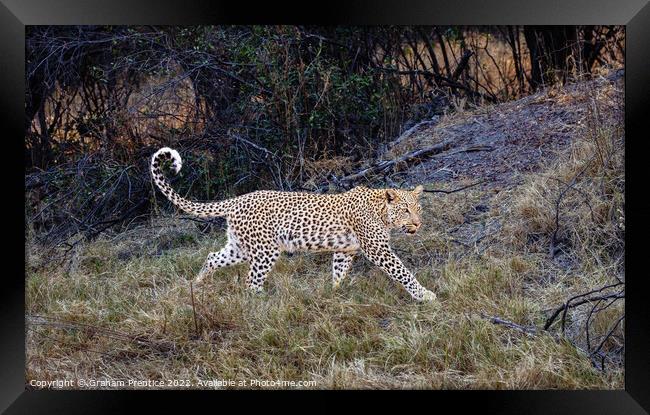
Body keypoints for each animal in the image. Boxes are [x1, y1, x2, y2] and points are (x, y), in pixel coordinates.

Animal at [151, 147, 436, 302]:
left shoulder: (345, 251)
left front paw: (333, 293)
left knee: (212, 257)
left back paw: (197, 285)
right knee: (251, 281)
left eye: (419, 208)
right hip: (265, 251)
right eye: (406, 209)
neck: (381, 211)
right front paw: (425, 295)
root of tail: (238, 199)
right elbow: (403, 272)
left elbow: (338, 272)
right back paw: (260, 303)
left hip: (239, 247)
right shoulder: (377, 249)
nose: (418, 223)